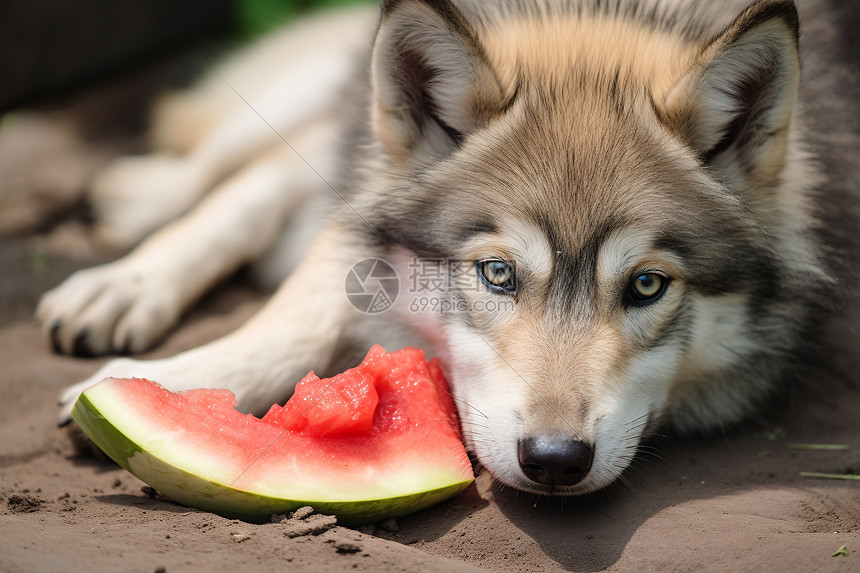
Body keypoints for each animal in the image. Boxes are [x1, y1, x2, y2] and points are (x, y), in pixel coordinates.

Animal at [40, 0, 860, 494]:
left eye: (647, 286)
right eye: (497, 274)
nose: (555, 462)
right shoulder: (357, 194)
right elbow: (299, 309)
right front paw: (173, 381)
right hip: (318, 100)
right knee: (235, 170)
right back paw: (128, 245)